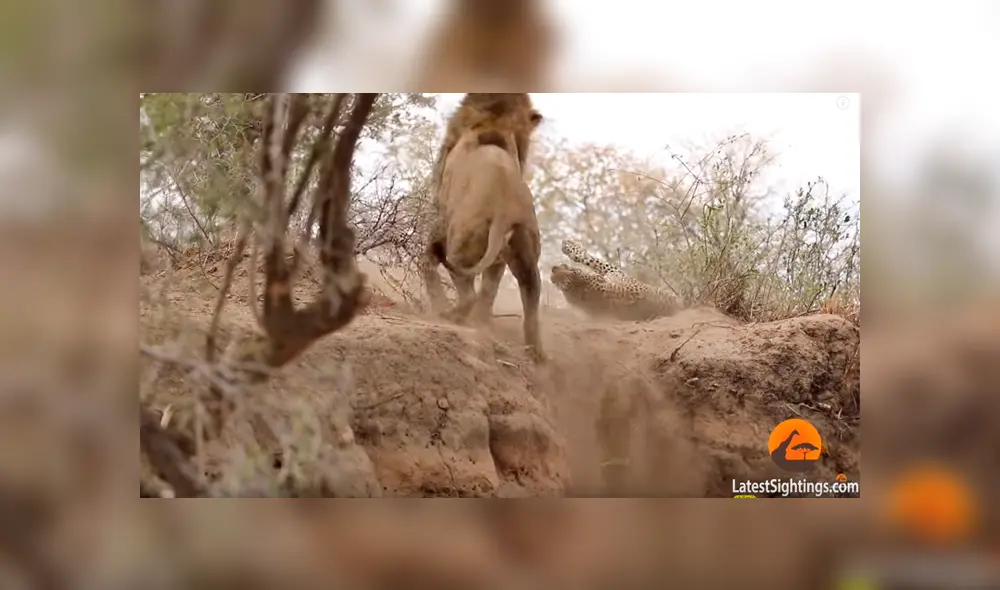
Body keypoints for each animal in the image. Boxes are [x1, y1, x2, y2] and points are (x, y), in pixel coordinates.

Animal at [550, 239, 681, 321]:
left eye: (572, 271)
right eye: (562, 283)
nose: (553, 269)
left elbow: (585, 258)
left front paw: (567, 244)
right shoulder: (615, 272)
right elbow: (587, 258)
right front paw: (568, 244)